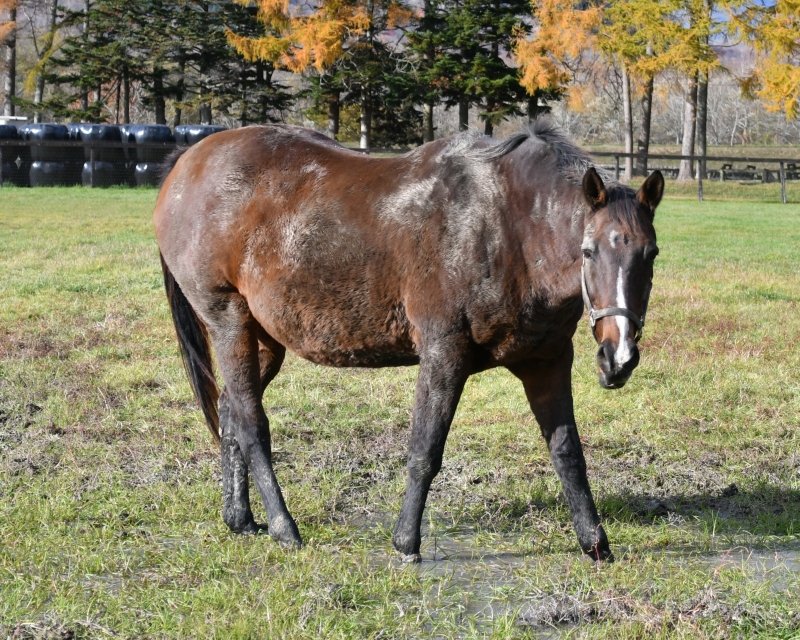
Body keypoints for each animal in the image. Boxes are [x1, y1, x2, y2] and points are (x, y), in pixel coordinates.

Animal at [154, 119, 663, 562]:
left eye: (651, 253)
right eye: (588, 251)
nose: (618, 358)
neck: (507, 227)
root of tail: (186, 162)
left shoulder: (547, 360)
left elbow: (568, 454)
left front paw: (595, 543)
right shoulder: (443, 355)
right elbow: (424, 451)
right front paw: (405, 543)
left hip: (264, 341)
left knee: (230, 413)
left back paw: (239, 519)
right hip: (229, 322)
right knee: (251, 424)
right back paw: (284, 527)